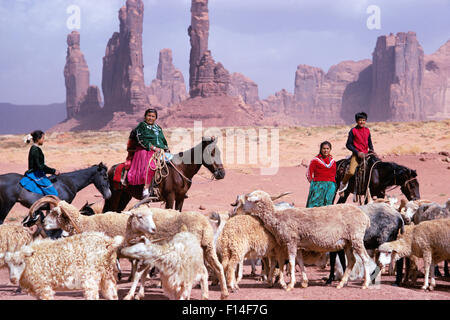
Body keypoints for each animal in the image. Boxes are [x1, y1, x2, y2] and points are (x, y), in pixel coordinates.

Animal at [237, 191, 370, 292]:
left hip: (356, 237)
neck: (277, 218)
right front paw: (304, 282)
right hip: (348, 242)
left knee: (365, 258)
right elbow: (299, 262)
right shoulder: (299, 244)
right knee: (352, 260)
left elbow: (291, 262)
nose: (239, 210)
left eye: (249, 200)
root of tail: (365, 217)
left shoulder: (291, 241)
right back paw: (341, 284)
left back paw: (365, 284)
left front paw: (290, 285)